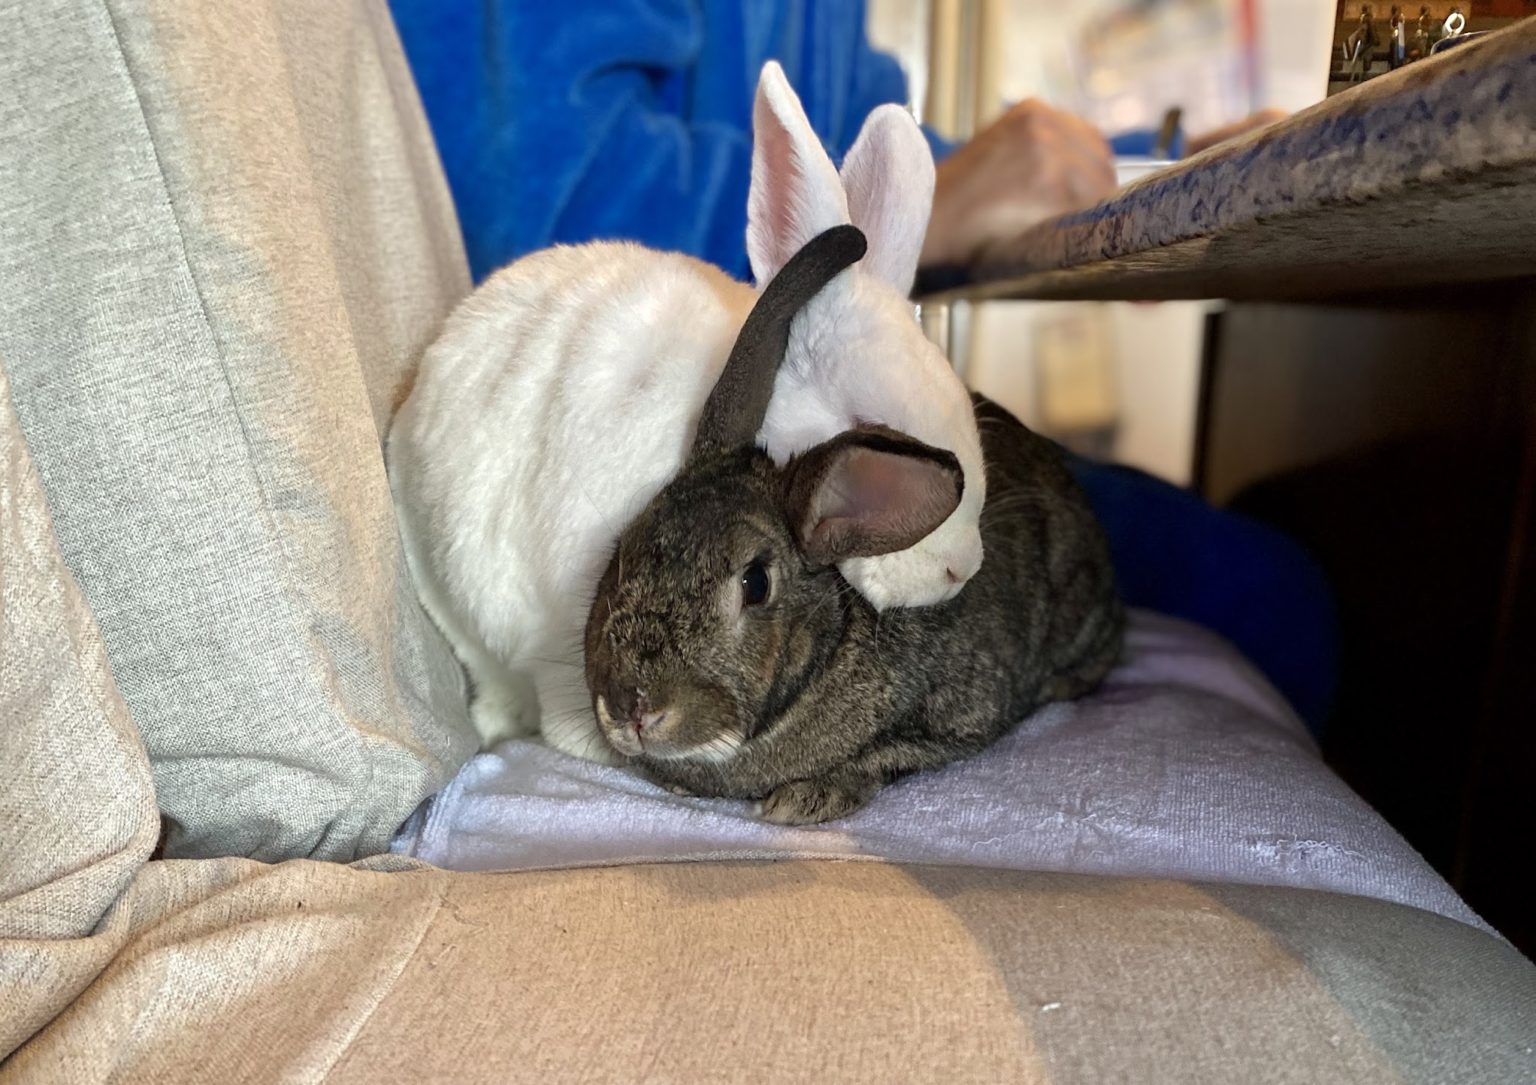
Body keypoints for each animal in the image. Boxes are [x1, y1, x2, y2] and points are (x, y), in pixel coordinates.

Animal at [583, 225, 1125, 824]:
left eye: (755, 584)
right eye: (625, 552)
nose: (631, 707)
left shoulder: (954, 723)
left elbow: (886, 757)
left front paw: (804, 800)